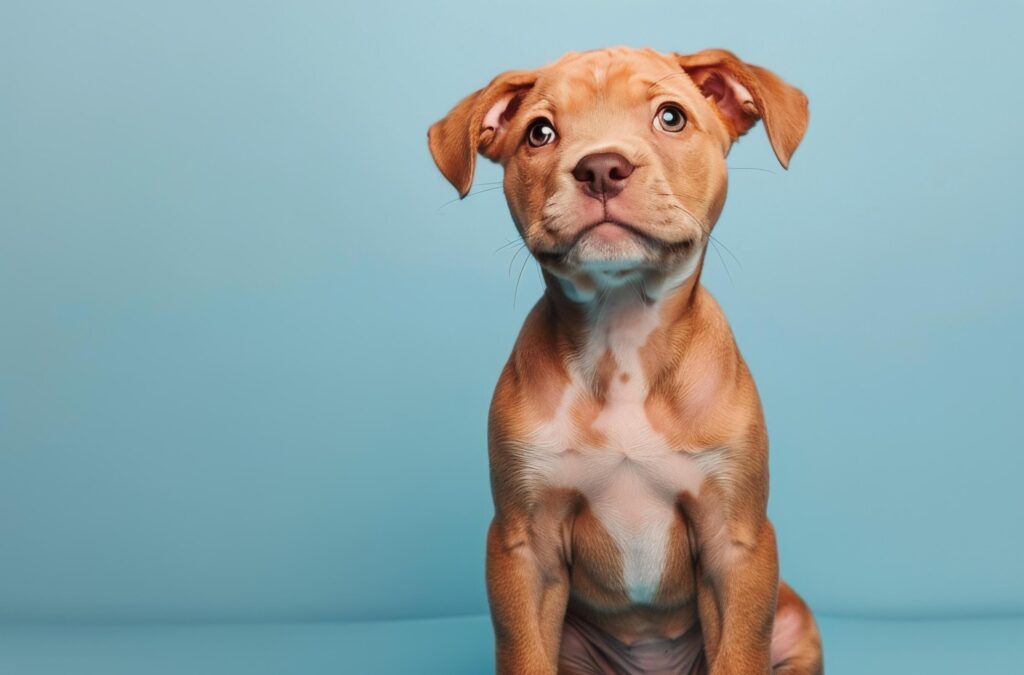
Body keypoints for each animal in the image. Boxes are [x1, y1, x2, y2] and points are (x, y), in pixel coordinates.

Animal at [430, 48, 823, 675]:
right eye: (540, 132)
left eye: (671, 117)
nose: (601, 168)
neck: (622, 338)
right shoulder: (523, 548)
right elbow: (524, 652)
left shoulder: (737, 544)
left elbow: (740, 652)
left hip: (793, 619)